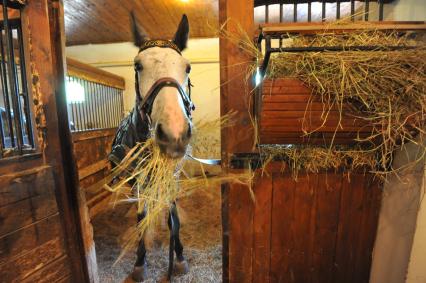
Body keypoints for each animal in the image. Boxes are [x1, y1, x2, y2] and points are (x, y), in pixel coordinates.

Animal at [109, 12, 196, 282]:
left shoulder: (171, 177)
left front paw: (179, 257)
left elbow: (173, 219)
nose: (174, 134)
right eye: (138, 65)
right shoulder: (139, 181)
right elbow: (141, 218)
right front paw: (139, 262)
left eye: (187, 67)